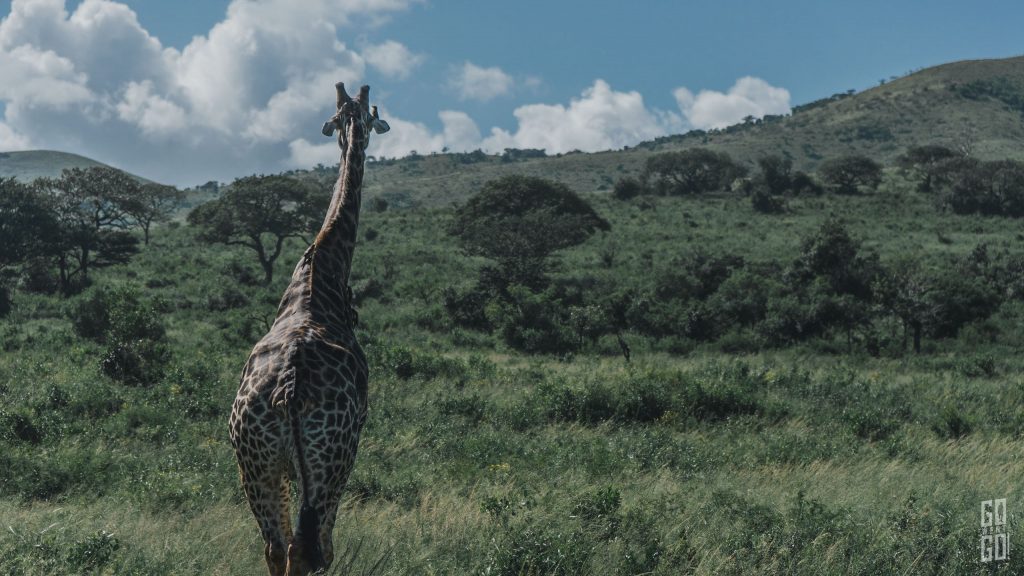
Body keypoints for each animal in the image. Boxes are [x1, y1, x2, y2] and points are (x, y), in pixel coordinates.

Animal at [229, 83, 389, 576]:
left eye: (351, 116)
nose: (359, 135)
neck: (321, 272)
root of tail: (290, 388)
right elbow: (326, 548)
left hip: (255, 459)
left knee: (274, 547)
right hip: (331, 457)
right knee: (310, 548)